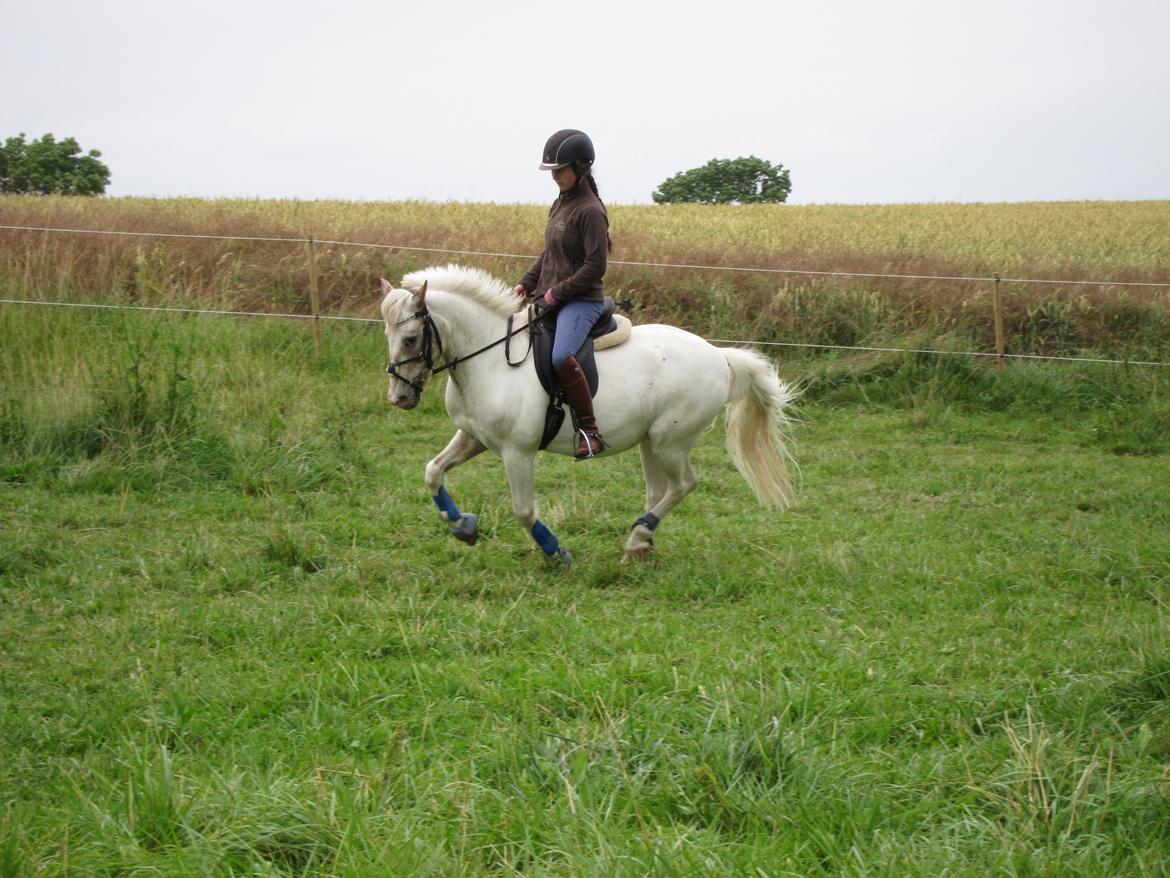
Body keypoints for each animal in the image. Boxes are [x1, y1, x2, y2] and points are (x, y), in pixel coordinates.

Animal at [379, 264, 800, 566]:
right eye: (388, 336)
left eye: (412, 339)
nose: (400, 397)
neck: (490, 358)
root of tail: (718, 354)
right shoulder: (473, 437)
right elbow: (433, 471)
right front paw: (463, 526)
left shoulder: (517, 452)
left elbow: (523, 510)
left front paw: (557, 554)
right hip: (650, 442)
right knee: (659, 490)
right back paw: (640, 544)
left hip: (671, 441)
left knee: (683, 485)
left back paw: (637, 537)